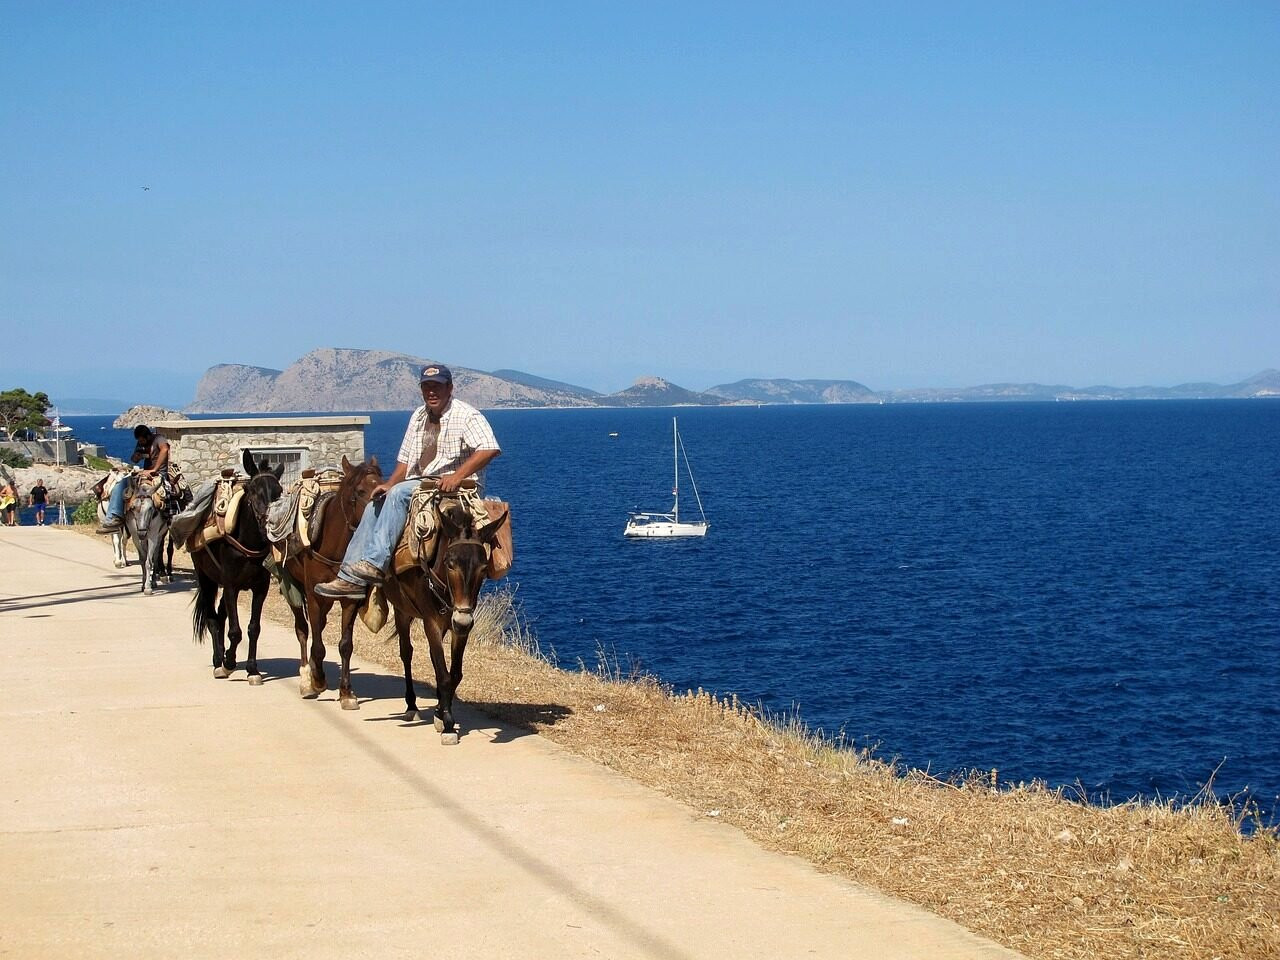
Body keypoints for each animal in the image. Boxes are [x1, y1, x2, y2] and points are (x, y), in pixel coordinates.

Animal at [190, 450, 284, 683]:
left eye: (279, 492)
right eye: (253, 491)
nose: (269, 525)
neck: (248, 543)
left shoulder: (260, 588)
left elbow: (253, 628)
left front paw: (252, 669)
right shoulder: (231, 586)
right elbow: (235, 631)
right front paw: (229, 664)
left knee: (221, 614)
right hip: (206, 579)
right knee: (212, 619)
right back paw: (218, 662)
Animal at [280, 455, 382, 704]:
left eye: (382, 486)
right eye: (360, 490)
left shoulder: (350, 598)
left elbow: (345, 645)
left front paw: (346, 692)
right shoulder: (313, 596)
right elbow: (317, 643)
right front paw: (317, 679)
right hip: (293, 588)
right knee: (303, 629)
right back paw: (307, 679)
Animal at [336, 484, 507, 744]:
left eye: (483, 567)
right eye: (449, 563)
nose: (462, 620)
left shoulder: (459, 626)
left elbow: (454, 674)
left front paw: (440, 713)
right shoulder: (432, 623)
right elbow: (443, 674)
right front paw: (448, 725)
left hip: (407, 611)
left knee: (411, 653)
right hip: (371, 597)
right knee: (365, 643)